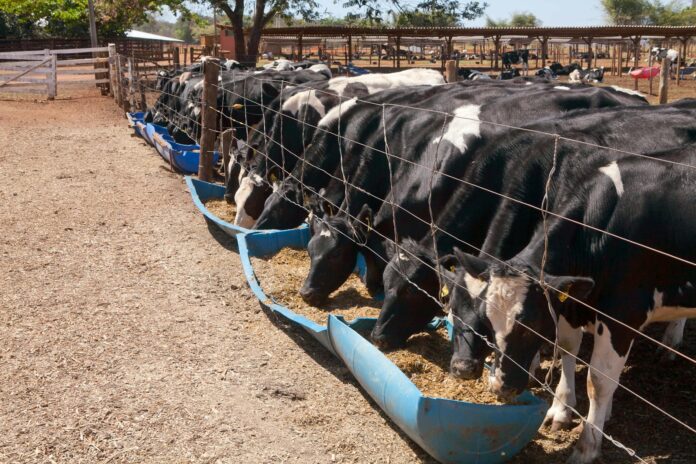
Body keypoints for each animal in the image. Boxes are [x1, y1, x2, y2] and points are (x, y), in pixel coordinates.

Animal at [456, 142, 696, 464]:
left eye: (529, 325)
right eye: (486, 321)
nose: (501, 386)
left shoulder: (623, 314)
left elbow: (599, 381)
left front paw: (587, 445)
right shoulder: (571, 302)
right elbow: (569, 349)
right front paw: (561, 409)